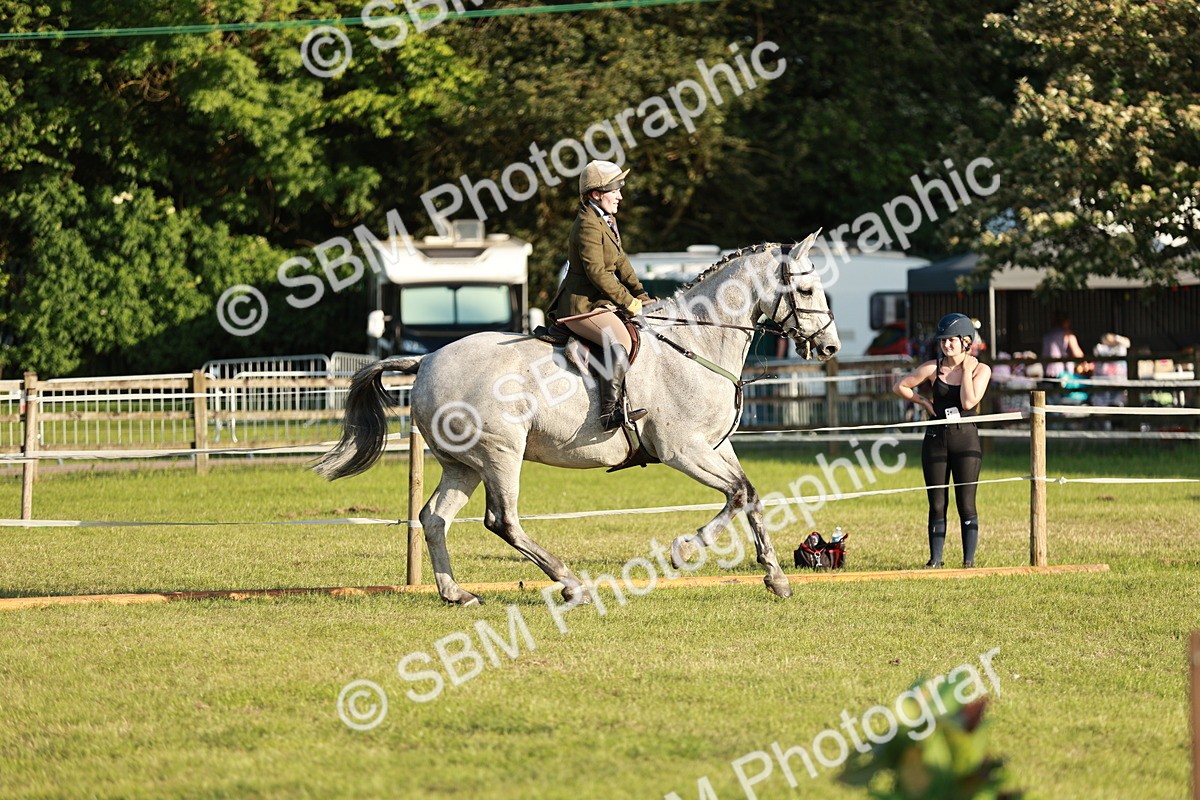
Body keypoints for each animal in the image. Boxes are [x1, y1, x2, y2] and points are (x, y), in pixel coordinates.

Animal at [315, 233, 840, 605]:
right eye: (806, 288)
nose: (830, 347)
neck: (697, 341)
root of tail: (425, 362)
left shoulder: (714, 445)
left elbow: (749, 494)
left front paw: (775, 577)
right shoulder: (682, 450)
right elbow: (737, 495)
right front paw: (686, 549)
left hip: (463, 465)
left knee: (434, 518)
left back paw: (456, 593)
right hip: (501, 454)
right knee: (502, 521)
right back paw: (570, 584)